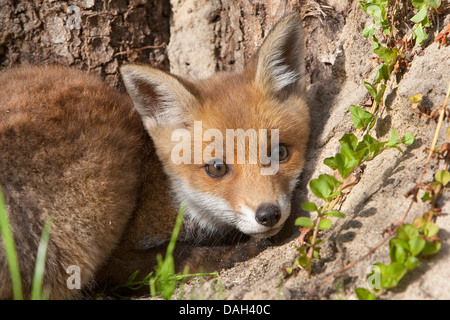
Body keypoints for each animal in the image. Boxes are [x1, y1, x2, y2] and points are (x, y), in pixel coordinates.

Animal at [0, 14, 310, 300]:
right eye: (217, 168)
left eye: (280, 152)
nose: (268, 214)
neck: (164, 188)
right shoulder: (117, 261)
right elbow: (178, 256)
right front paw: (238, 251)